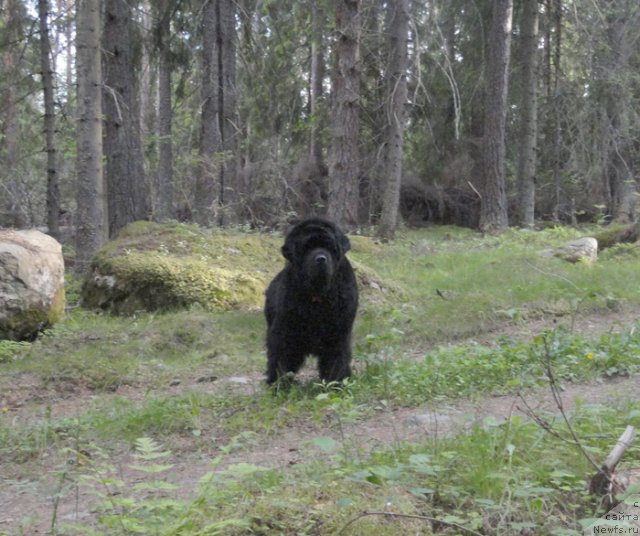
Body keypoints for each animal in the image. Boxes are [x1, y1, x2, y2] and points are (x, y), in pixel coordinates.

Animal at [262, 218, 358, 386]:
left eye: (330, 247)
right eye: (307, 248)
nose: (321, 259)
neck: (318, 295)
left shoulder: (338, 333)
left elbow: (336, 359)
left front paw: (336, 383)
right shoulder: (284, 331)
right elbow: (280, 355)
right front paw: (279, 384)